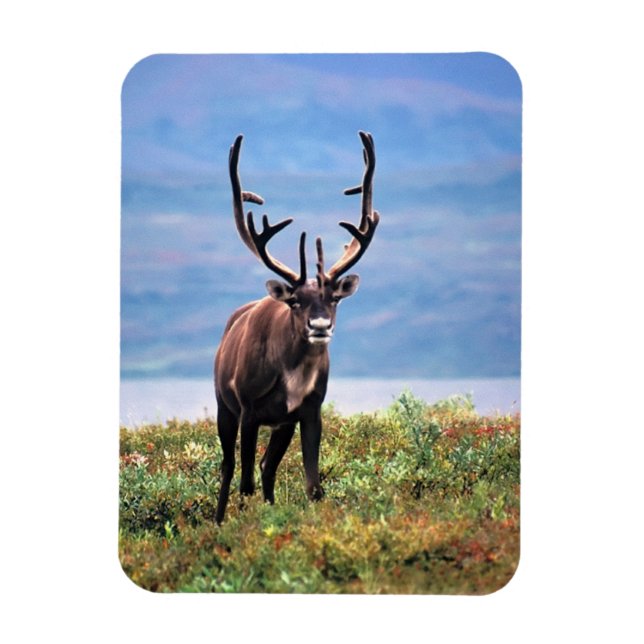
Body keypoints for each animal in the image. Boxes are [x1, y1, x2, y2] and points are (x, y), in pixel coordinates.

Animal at [213, 131, 380, 524]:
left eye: (334, 299)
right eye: (296, 301)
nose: (320, 325)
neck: (292, 374)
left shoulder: (308, 409)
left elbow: (313, 485)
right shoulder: (249, 409)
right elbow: (244, 484)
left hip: (281, 424)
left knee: (267, 467)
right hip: (224, 405)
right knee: (229, 468)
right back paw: (218, 519)